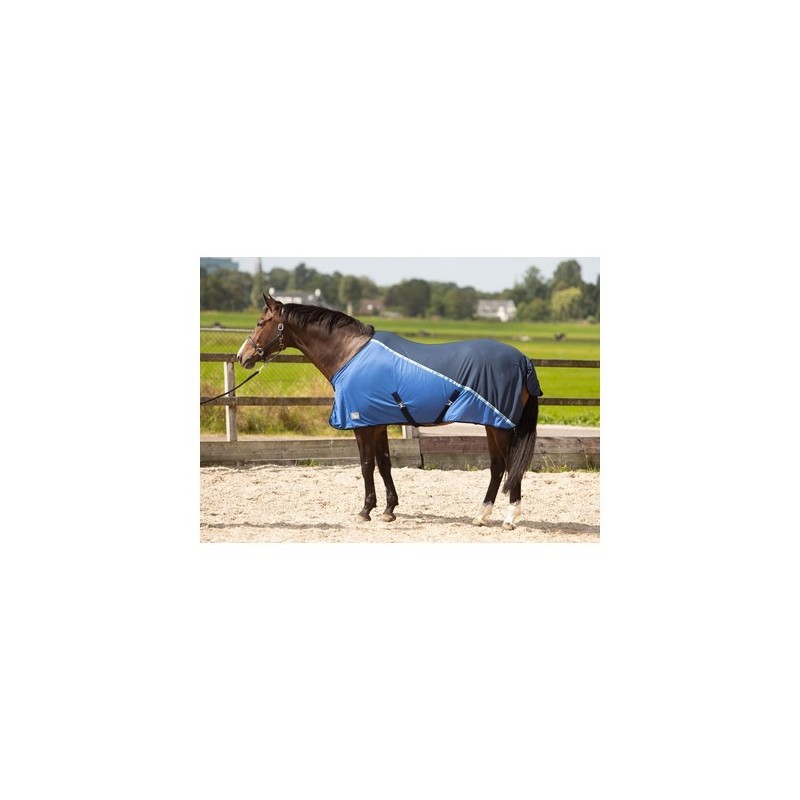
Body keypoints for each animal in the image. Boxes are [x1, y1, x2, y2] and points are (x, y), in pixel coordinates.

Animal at [237, 294, 542, 529]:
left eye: (260, 323)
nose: (242, 357)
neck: (350, 354)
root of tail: (524, 361)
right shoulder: (379, 422)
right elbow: (384, 463)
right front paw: (388, 510)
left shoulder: (362, 424)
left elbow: (366, 465)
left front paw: (365, 511)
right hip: (492, 424)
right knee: (498, 466)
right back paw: (481, 516)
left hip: (501, 426)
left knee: (510, 465)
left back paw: (509, 519)